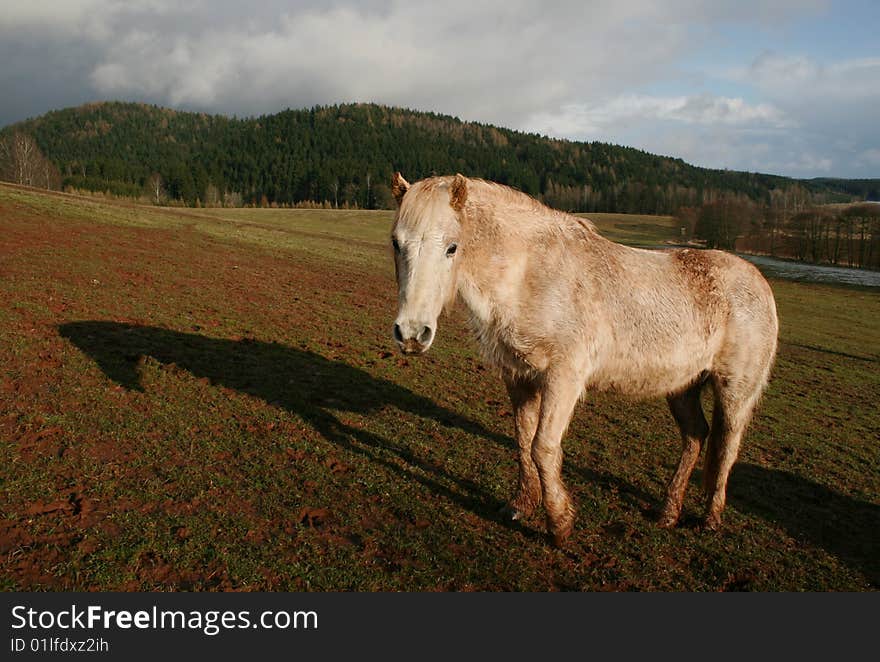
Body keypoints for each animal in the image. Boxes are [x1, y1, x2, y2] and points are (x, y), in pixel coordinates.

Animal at [388, 174, 780, 548]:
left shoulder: (563, 378)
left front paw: (559, 525)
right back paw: (668, 513)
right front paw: (521, 506)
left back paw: (710, 519)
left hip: (735, 391)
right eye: (396, 243)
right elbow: (522, 441)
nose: (412, 333)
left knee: (727, 445)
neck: (531, 275)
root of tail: (758, 281)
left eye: (452, 247)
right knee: (696, 437)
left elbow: (543, 447)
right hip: (683, 385)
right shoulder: (519, 378)